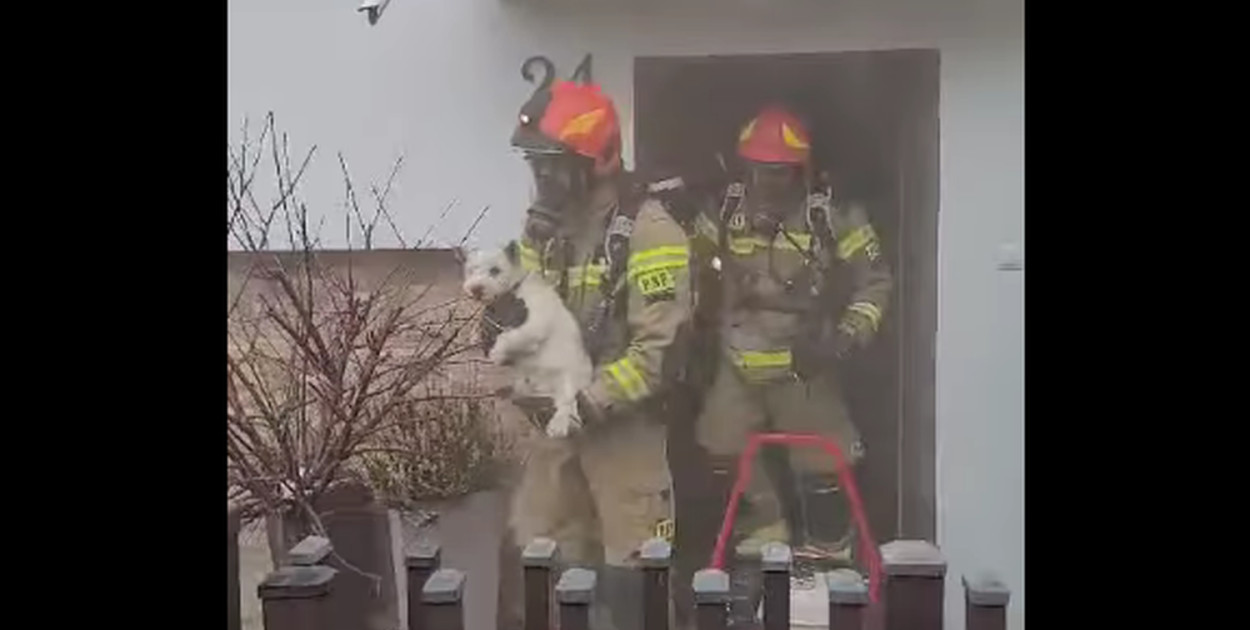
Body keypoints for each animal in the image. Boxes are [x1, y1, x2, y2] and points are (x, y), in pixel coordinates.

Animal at [462, 241, 592, 437]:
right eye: (471, 270)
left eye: (495, 270)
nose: (476, 289)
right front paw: (475, 336)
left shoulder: (534, 318)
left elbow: (514, 335)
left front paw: (496, 353)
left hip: (569, 371)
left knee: (566, 400)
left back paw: (558, 425)